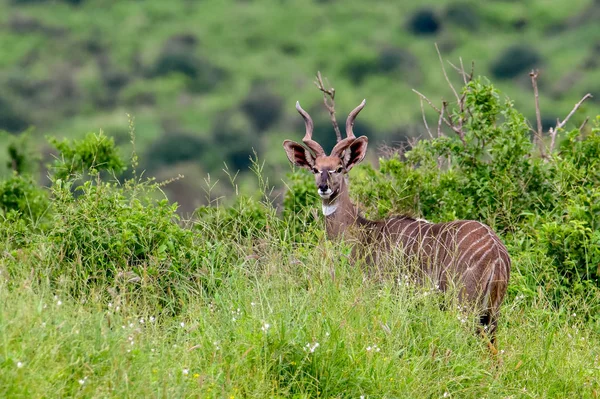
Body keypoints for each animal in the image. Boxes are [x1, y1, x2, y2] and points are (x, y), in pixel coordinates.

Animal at [282, 99, 510, 346]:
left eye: (339, 168)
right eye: (315, 169)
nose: (324, 187)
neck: (363, 234)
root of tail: (497, 256)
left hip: (463, 304)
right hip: (491, 314)